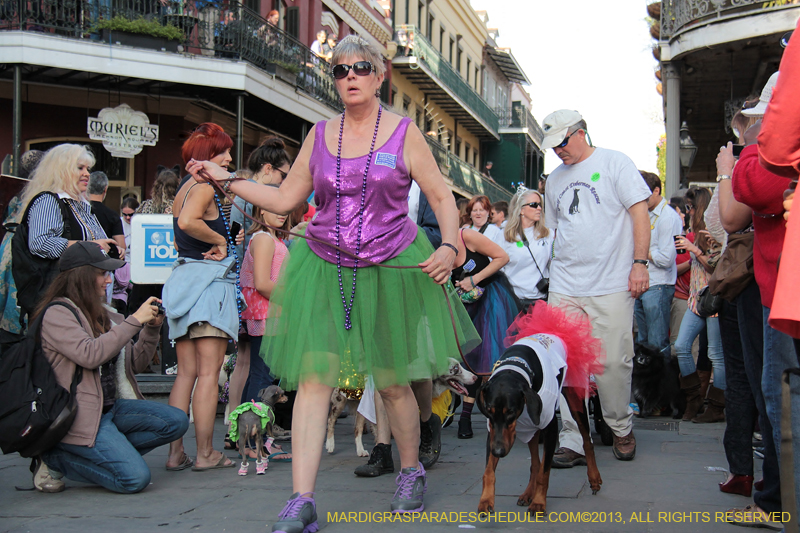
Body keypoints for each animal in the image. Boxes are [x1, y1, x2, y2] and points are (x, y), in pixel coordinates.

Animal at [476, 334, 600, 512]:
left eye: (511, 412)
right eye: (488, 410)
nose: (498, 451)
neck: (516, 365)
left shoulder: (550, 428)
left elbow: (544, 472)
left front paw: (539, 503)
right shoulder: (493, 432)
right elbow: (488, 472)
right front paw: (486, 500)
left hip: (573, 396)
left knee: (587, 441)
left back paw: (594, 478)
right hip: (531, 424)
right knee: (535, 463)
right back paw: (527, 494)